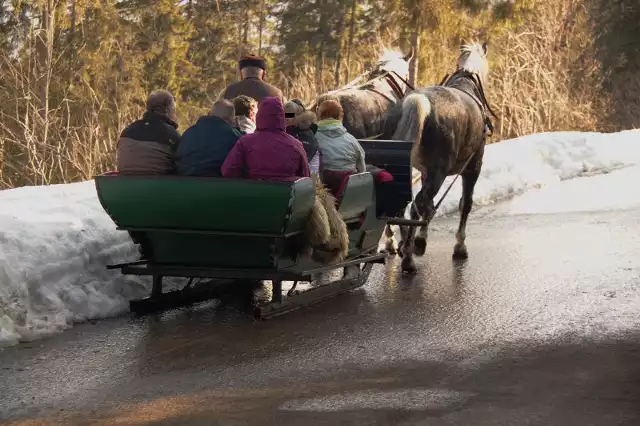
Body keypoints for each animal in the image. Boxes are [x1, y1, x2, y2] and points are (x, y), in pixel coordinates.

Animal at [390, 40, 496, 272]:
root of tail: (420, 102)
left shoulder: (424, 172)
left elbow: (426, 209)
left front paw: (418, 239)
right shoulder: (473, 168)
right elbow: (465, 204)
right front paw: (459, 246)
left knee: (411, 205)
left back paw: (406, 247)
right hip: (440, 172)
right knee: (419, 203)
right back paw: (410, 254)